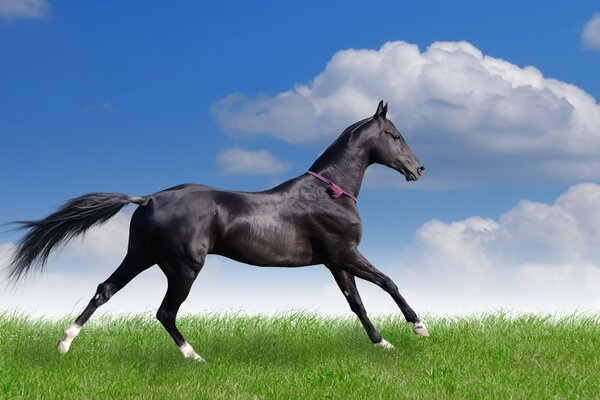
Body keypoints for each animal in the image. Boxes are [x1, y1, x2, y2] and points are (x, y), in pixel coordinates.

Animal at [5, 101, 426, 362]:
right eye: (395, 135)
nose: (419, 169)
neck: (330, 192)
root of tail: (148, 199)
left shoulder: (335, 261)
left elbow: (357, 304)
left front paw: (383, 344)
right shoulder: (345, 253)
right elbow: (388, 282)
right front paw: (418, 327)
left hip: (140, 257)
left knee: (104, 290)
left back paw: (64, 343)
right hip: (184, 268)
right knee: (165, 312)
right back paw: (194, 356)